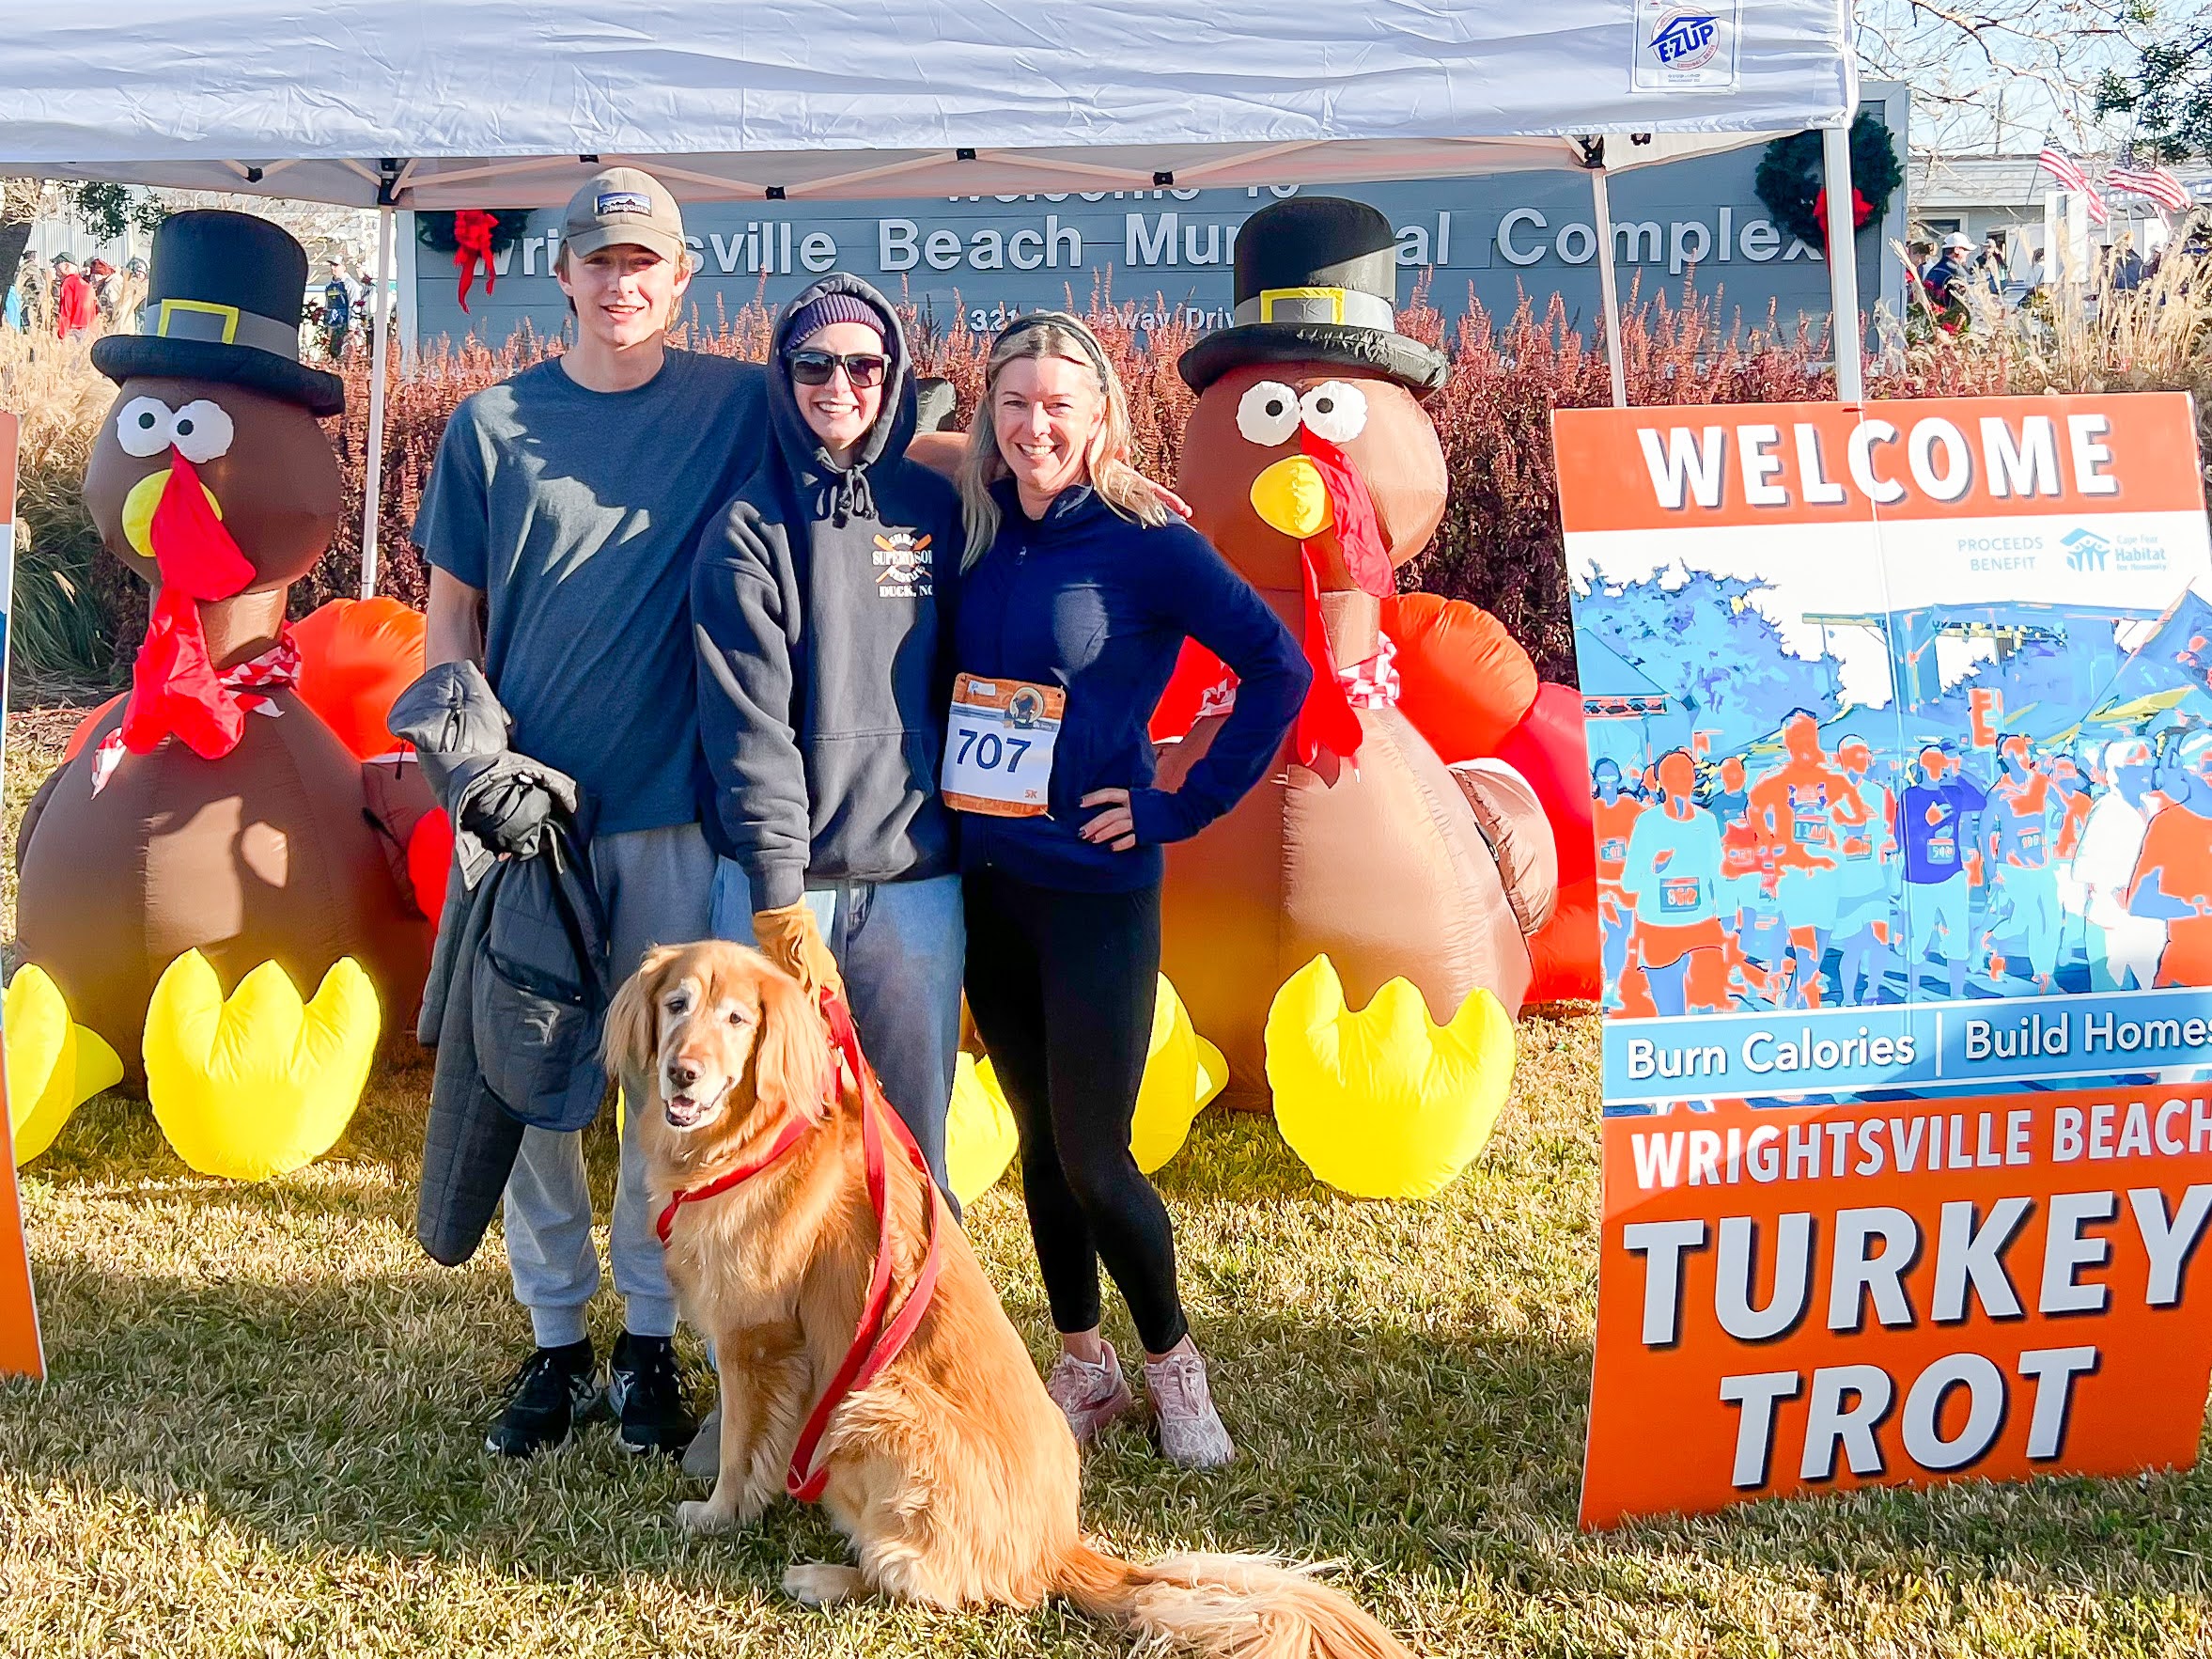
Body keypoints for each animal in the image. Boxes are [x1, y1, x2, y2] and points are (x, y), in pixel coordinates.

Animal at [610, 942, 1397, 1654]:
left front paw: (717, 1514)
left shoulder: (757, 1339)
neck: (753, 1135)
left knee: (930, 1586)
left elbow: (742, 1452)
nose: (682, 1072)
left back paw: (824, 1576)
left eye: (738, 1018)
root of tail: (1057, 1546)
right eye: (677, 1004)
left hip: (870, 1406)